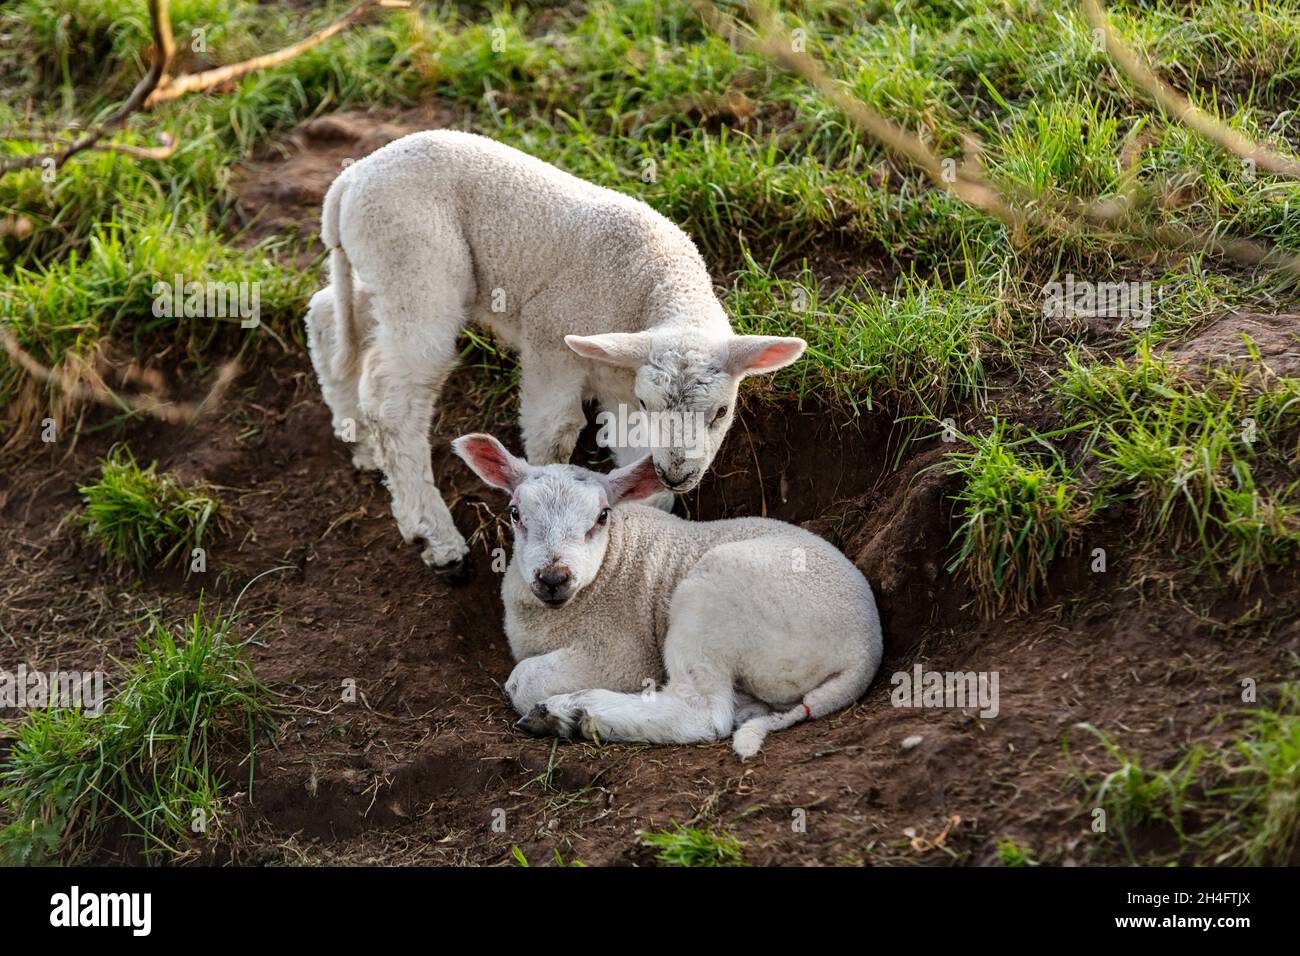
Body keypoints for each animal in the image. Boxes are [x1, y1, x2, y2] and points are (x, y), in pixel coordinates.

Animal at [308, 130, 806, 580]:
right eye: (651, 405)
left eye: (721, 412)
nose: (678, 473)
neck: (653, 284)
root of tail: (350, 180)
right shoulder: (551, 341)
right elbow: (556, 433)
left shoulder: (620, 382)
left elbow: (639, 474)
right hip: (413, 264)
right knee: (395, 400)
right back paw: (436, 537)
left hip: (382, 271)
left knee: (327, 314)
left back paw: (357, 437)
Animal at [447, 429, 883, 759]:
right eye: (516, 514)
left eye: (602, 517)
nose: (554, 577)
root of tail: (864, 650)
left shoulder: (621, 653)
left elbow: (523, 679)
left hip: (713, 597)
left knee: (702, 711)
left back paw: (571, 713)